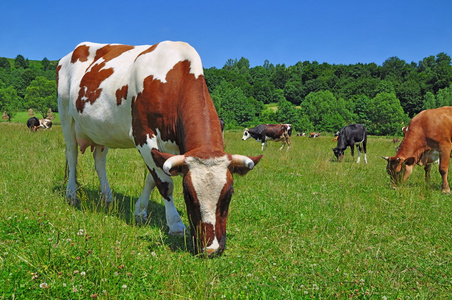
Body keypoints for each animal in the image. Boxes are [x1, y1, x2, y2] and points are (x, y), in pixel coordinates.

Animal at [57, 40, 264, 255]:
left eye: (229, 194)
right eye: (188, 194)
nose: (211, 248)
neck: (173, 79)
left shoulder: (173, 148)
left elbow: (153, 178)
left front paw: (140, 211)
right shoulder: (143, 136)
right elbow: (164, 183)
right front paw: (175, 224)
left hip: (101, 130)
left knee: (99, 162)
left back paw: (107, 197)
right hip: (65, 116)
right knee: (72, 155)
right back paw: (71, 194)